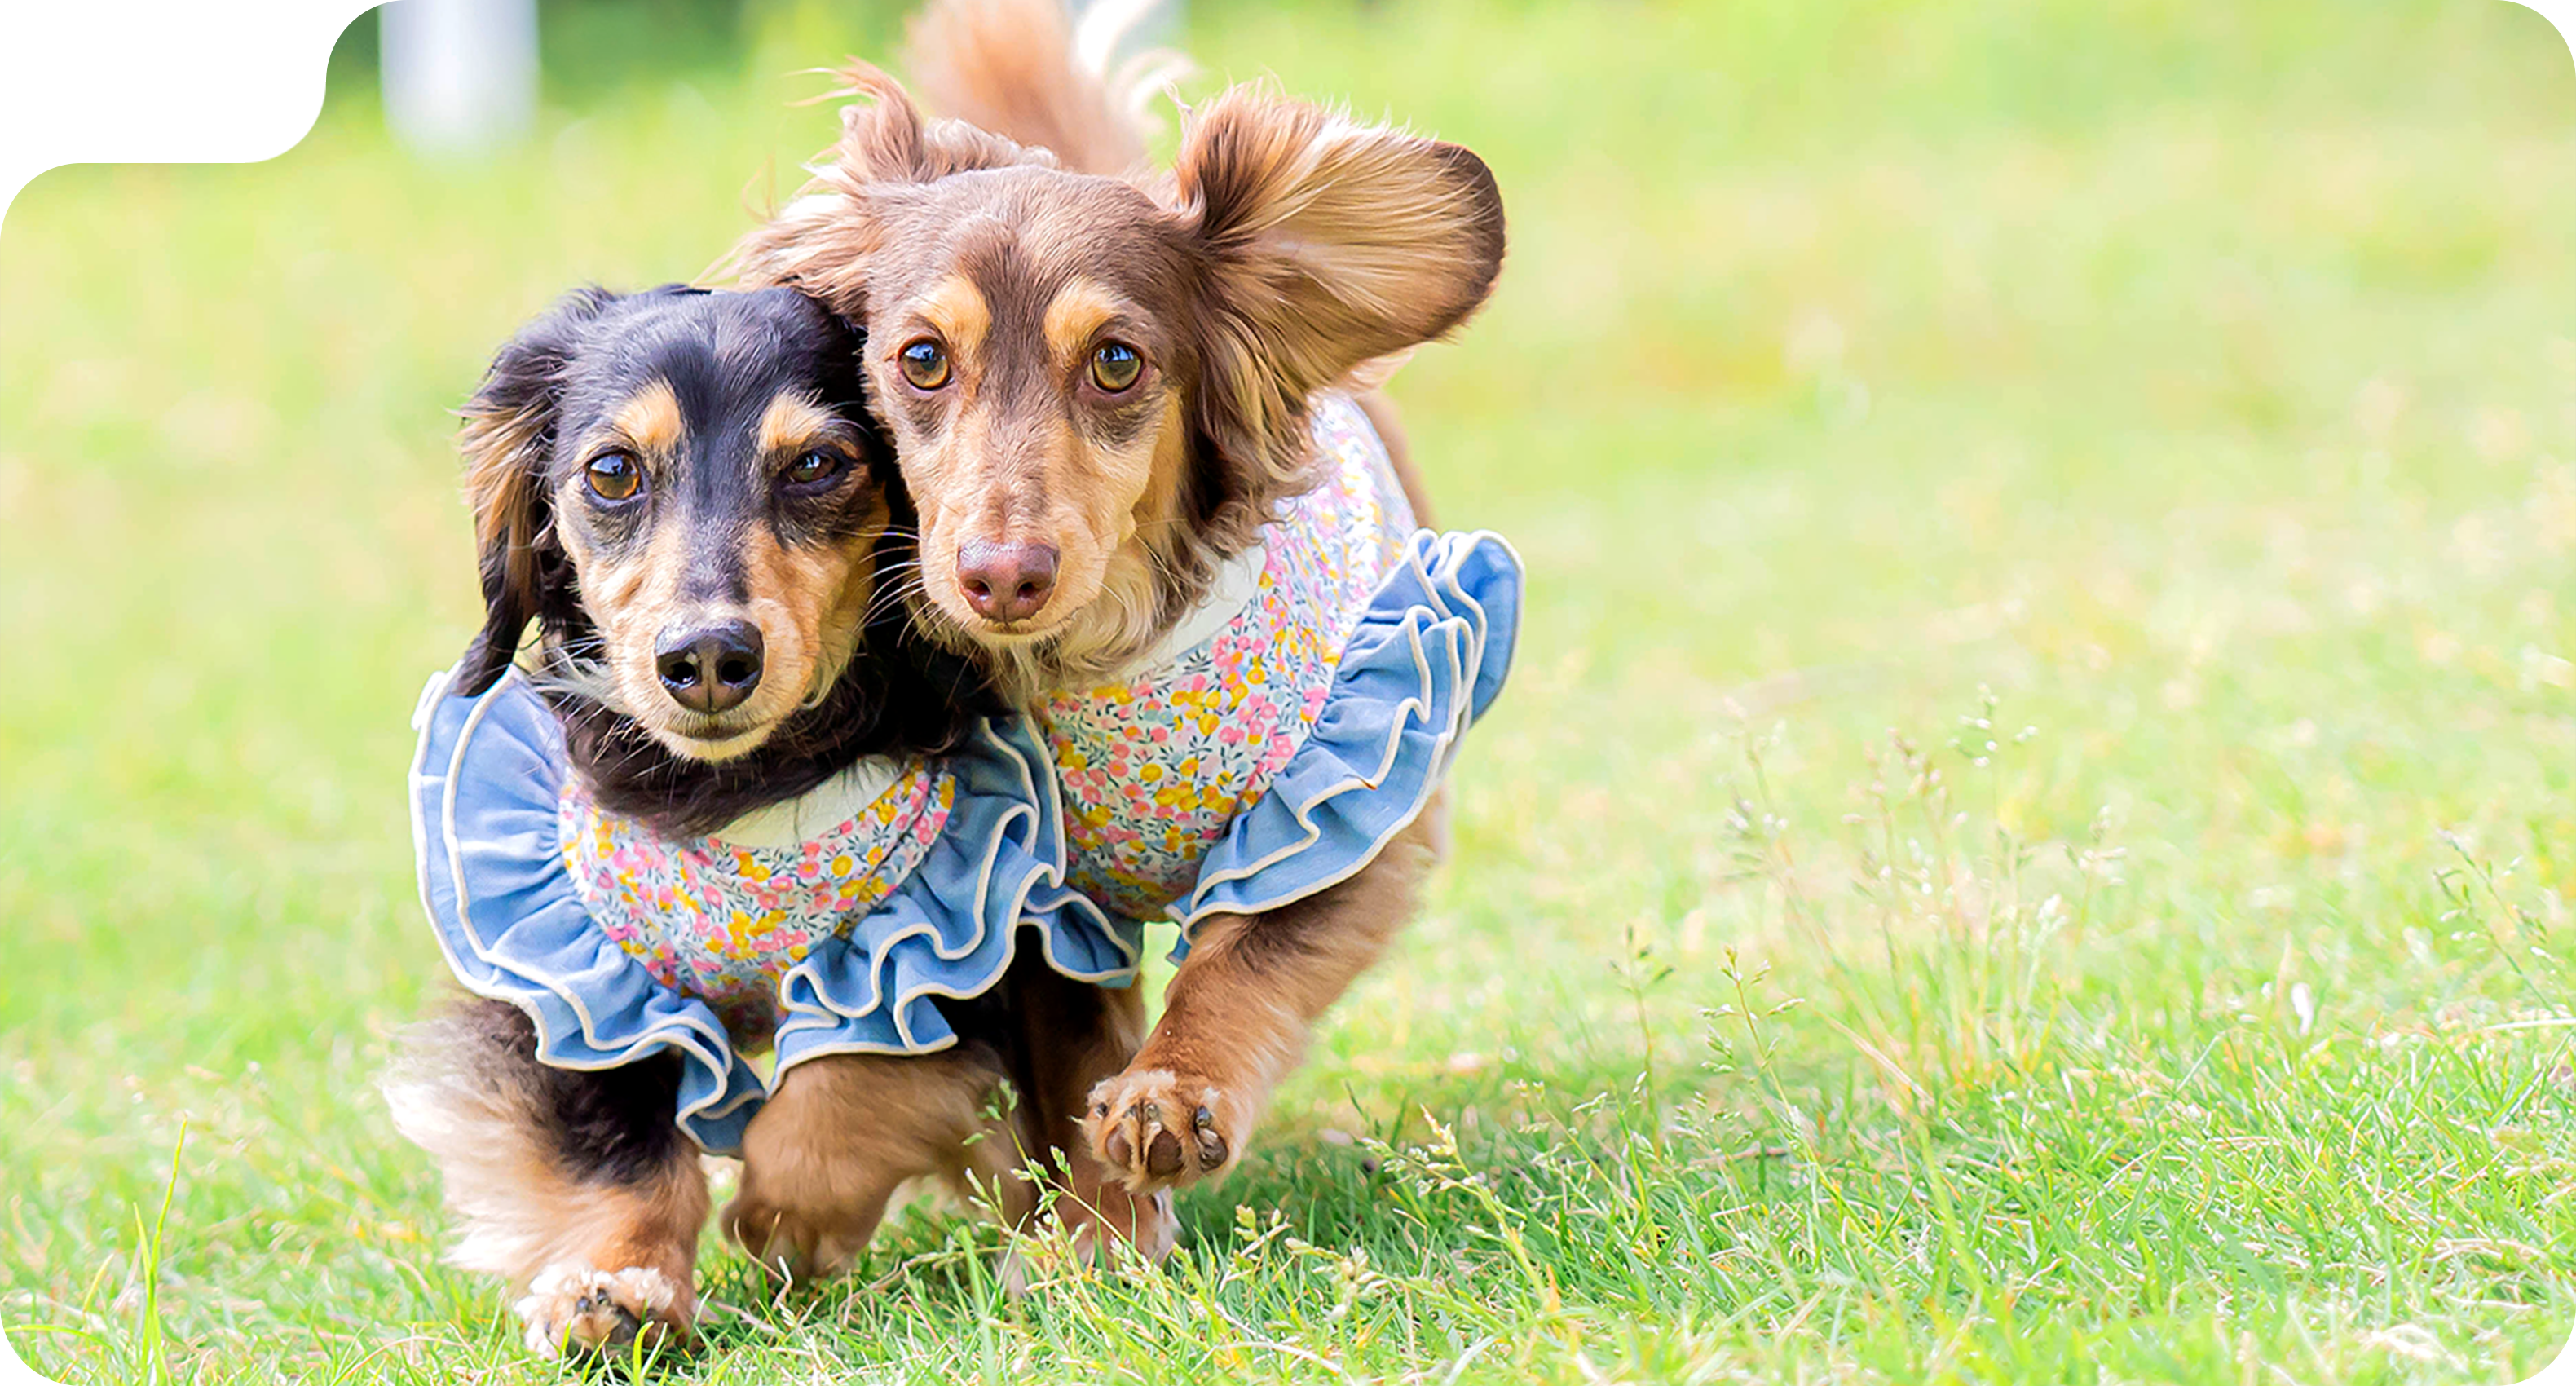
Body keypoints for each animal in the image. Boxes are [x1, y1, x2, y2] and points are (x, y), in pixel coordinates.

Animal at [391, 283, 1169, 1360]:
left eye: (816, 464)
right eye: (611, 470)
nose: (709, 656)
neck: (740, 794)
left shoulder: (952, 922)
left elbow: (849, 1071)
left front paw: (786, 1209)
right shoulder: (572, 973)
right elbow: (614, 1143)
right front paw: (615, 1284)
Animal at [726, 0, 1515, 1205]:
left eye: (1115, 360)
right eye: (920, 357)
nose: (1002, 574)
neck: (1107, 664)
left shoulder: (1353, 799)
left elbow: (1239, 964)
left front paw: (1172, 1094)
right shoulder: (1031, 903)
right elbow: (1065, 1065)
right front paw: (1098, 1224)